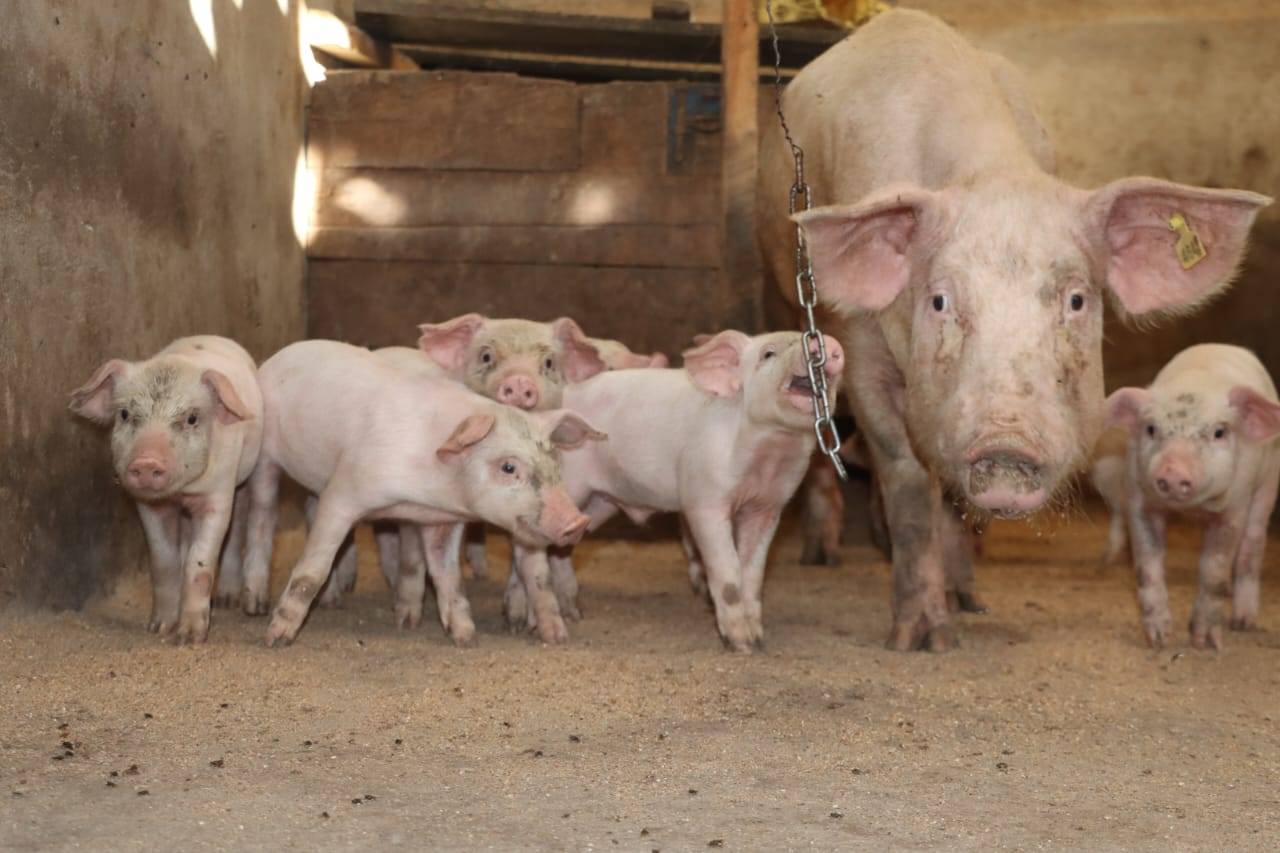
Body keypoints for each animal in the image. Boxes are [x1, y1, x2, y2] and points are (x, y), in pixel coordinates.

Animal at [69, 336, 263, 643]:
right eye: (125, 414)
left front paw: (188, 638)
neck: (181, 493)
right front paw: (158, 628)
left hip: (246, 475)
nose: (147, 462)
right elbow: (163, 561)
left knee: (237, 528)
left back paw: (226, 600)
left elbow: (200, 563)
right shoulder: (150, 507)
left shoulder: (218, 495)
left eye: (192, 418)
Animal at [239, 340, 603, 647]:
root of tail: (282, 353)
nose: (577, 521)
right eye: (509, 467)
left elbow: (449, 576)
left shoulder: (443, 521)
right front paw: (276, 639)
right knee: (261, 514)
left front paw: (465, 637)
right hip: (265, 459)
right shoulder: (345, 491)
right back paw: (256, 605)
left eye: (554, 459)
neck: (427, 491)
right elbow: (311, 571)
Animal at [506, 330, 844, 652]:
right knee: (527, 549)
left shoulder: (768, 507)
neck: (771, 451)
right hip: (564, 487)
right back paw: (538, 627)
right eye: (769, 353)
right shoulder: (704, 497)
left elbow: (752, 571)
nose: (825, 342)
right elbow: (727, 571)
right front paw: (741, 645)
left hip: (598, 504)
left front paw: (759, 640)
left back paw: (571, 612)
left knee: (560, 546)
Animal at [1100, 344, 1280, 649]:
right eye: (1151, 429)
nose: (1173, 471)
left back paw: (1243, 623)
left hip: (1267, 488)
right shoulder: (1139, 499)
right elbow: (1146, 566)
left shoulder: (1234, 507)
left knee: (1252, 548)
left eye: (1219, 432)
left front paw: (1205, 643)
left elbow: (1214, 570)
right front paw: (1160, 640)